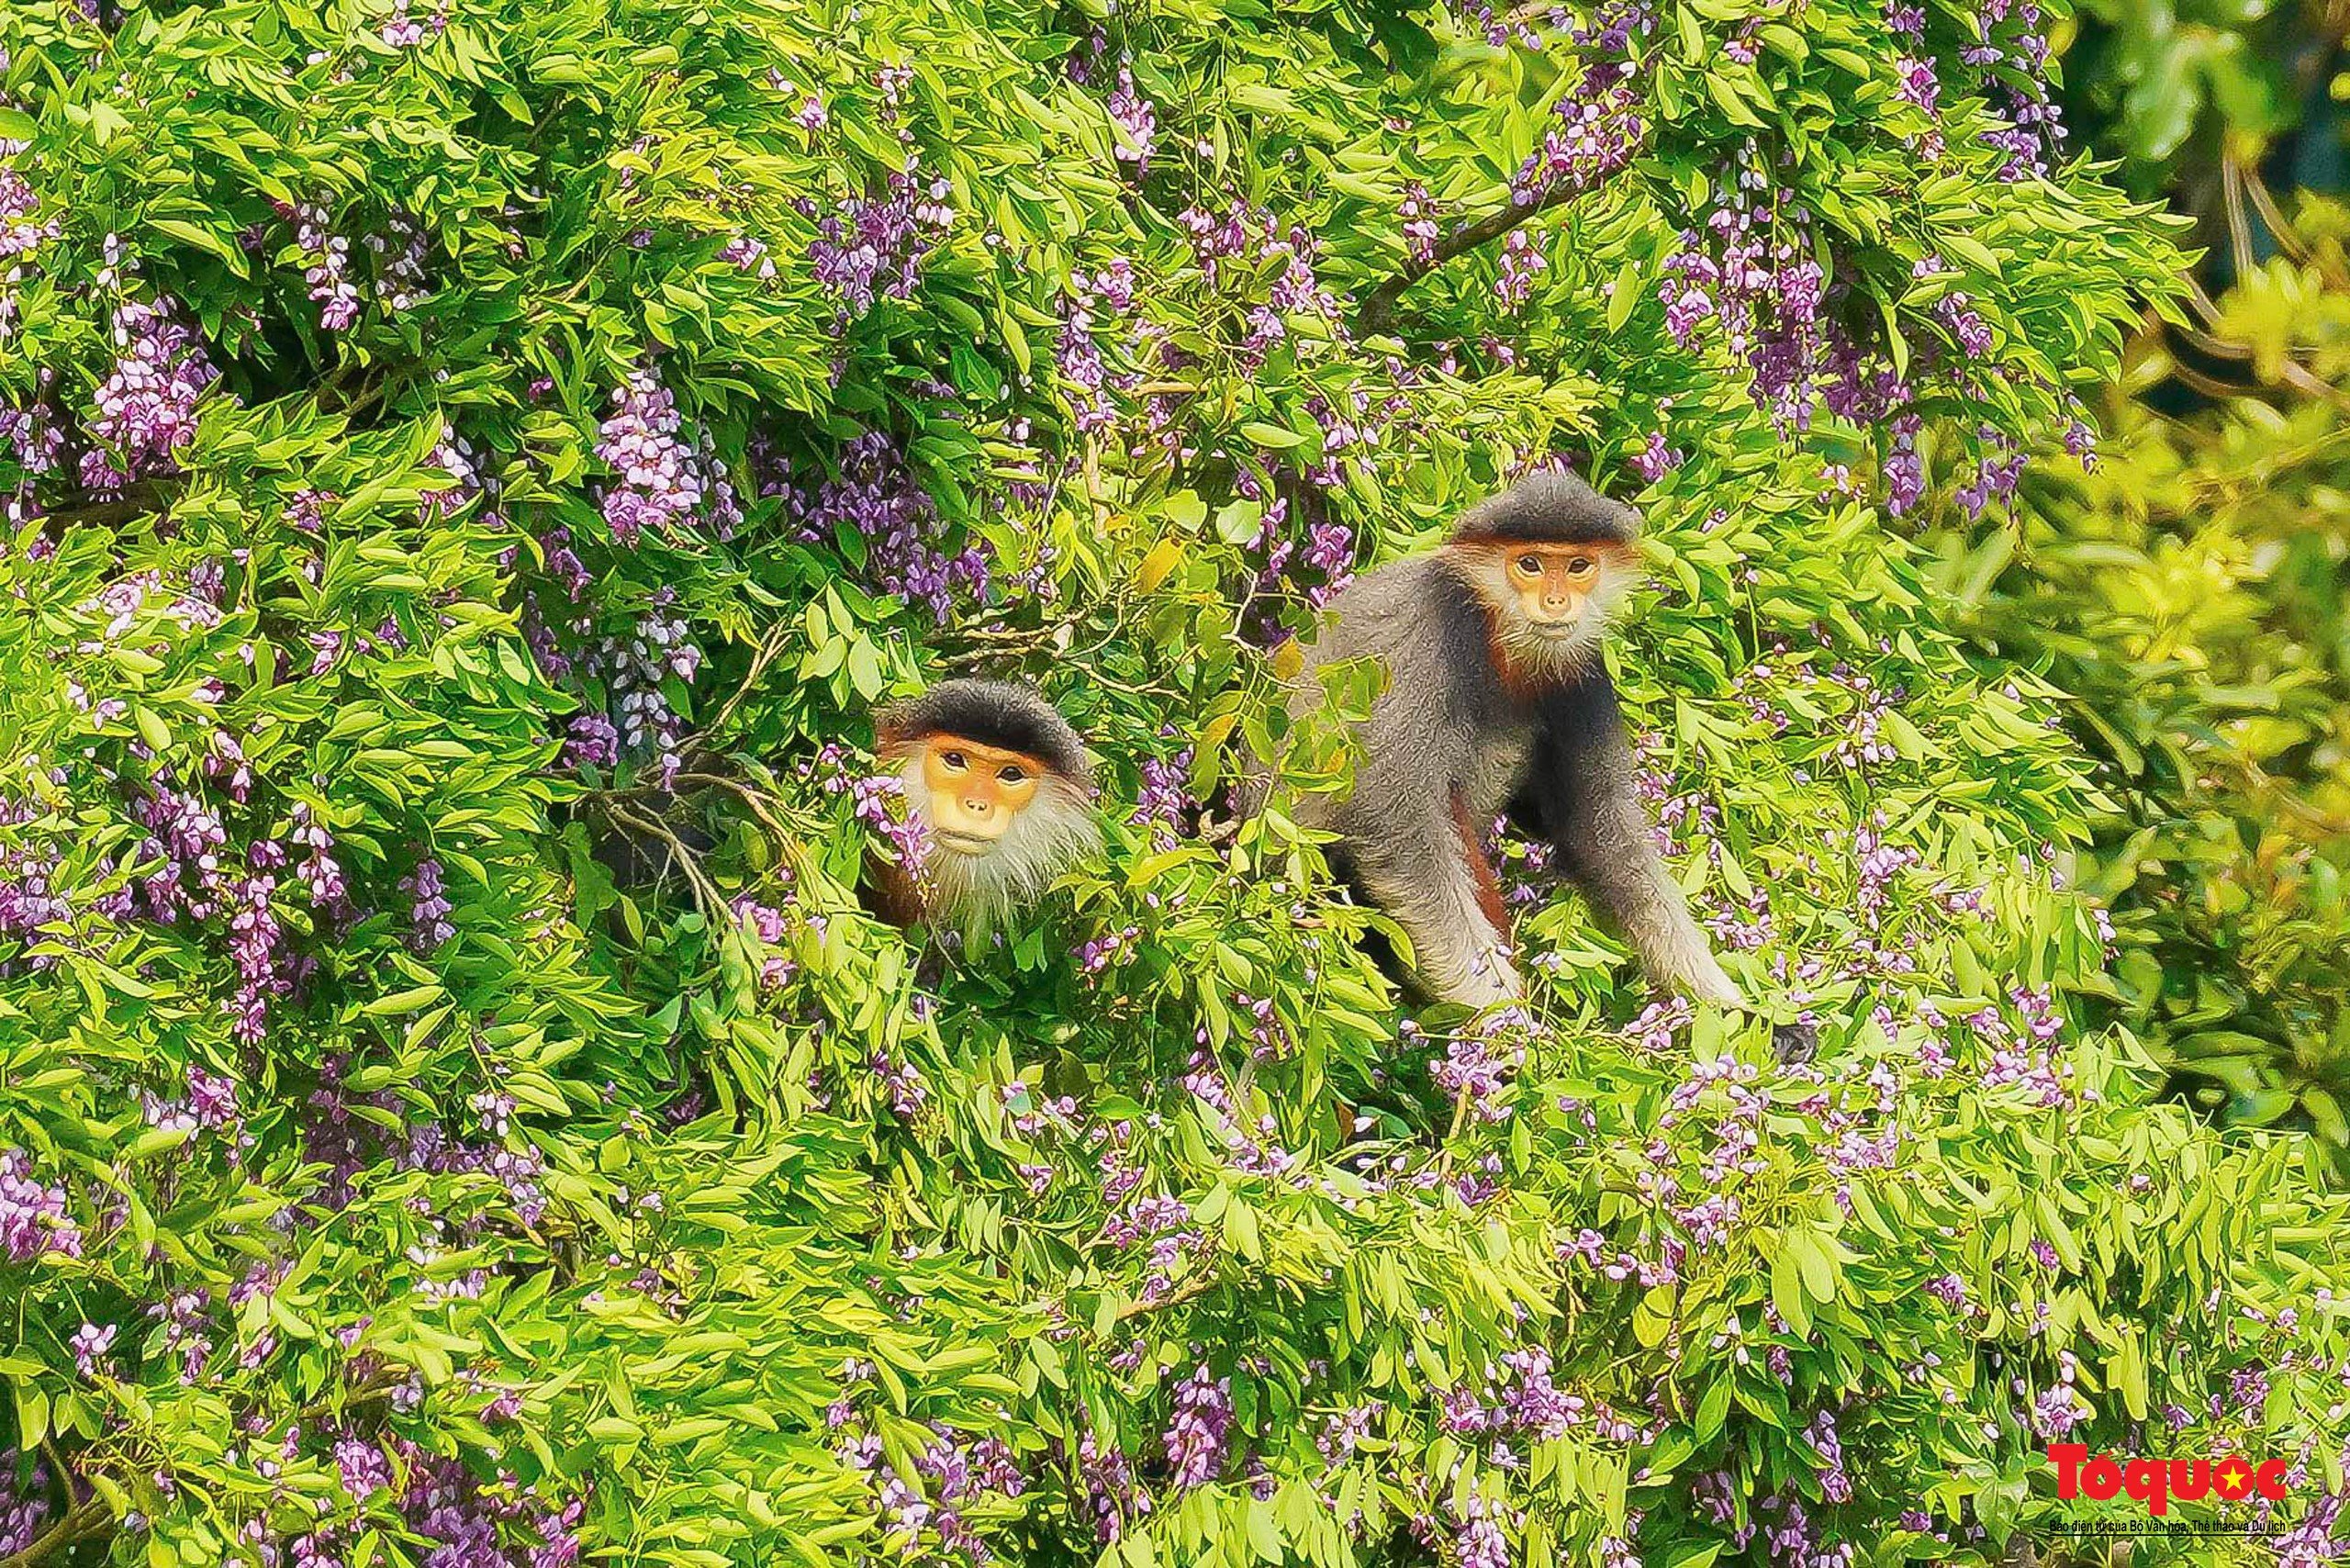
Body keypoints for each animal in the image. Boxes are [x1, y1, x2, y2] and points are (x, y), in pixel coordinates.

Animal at [1269, 472, 1748, 1011]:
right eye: (1530, 564)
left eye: (1578, 566)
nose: (1556, 601)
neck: (1496, 631)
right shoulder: (1426, 633)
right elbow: (1395, 819)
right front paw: (1502, 1013)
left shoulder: (1581, 668)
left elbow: (1601, 829)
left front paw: (1730, 1007)